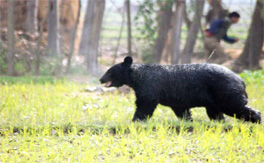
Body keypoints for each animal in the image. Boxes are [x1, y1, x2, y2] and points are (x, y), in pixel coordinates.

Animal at [100, 56, 260, 123]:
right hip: (213, 99)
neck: (136, 78)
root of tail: (241, 79)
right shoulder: (176, 96)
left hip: (225, 90)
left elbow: (145, 104)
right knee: (216, 113)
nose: (101, 79)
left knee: (234, 106)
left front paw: (136, 120)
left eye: (109, 71)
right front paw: (187, 121)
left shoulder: (150, 86)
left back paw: (257, 119)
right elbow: (181, 109)